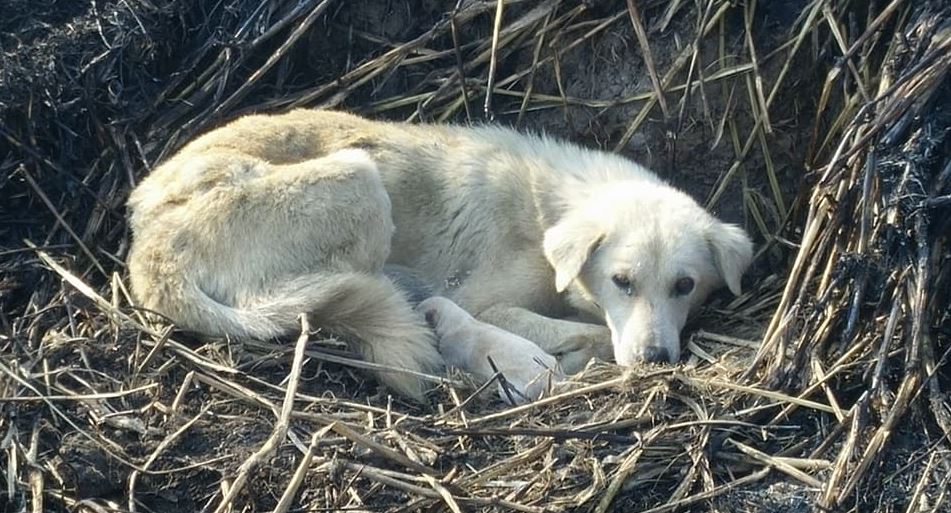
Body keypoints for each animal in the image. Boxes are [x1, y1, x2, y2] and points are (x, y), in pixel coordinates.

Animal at [126, 108, 752, 398]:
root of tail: (147, 252)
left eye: (684, 286)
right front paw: (580, 353)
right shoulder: (484, 301)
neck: (549, 207)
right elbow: (586, 331)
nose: (655, 361)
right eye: (622, 281)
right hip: (360, 179)